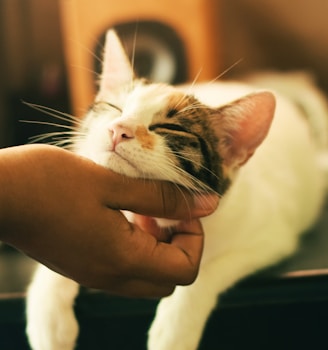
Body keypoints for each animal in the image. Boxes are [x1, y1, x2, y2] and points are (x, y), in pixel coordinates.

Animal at [25, 30, 328, 350]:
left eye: (169, 128)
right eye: (114, 108)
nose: (118, 129)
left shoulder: (270, 239)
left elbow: (206, 273)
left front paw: (173, 330)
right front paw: (48, 317)